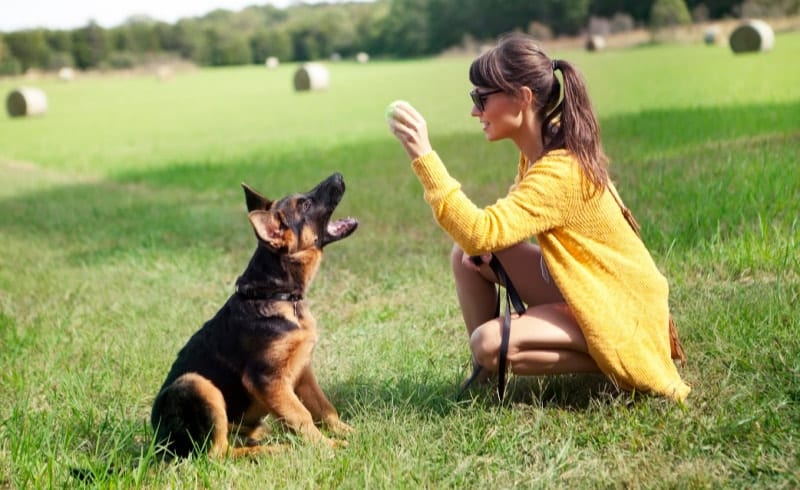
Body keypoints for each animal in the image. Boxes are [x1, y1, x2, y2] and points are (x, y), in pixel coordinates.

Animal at [152, 173, 358, 460]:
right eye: (305, 205)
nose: (338, 175)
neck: (276, 294)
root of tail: (158, 443)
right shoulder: (267, 379)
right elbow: (302, 415)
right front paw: (326, 447)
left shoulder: (303, 372)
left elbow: (324, 408)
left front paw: (347, 432)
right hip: (196, 385)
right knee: (219, 454)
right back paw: (274, 449)